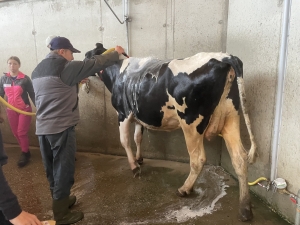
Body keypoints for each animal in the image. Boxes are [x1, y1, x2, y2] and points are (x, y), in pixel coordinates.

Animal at [86, 44, 258, 221]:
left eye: (87, 56)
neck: (118, 73)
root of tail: (225, 57)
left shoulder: (123, 113)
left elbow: (125, 140)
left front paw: (134, 166)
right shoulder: (139, 116)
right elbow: (138, 137)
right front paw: (139, 159)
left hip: (191, 121)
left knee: (198, 158)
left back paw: (184, 189)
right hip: (231, 116)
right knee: (239, 158)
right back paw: (245, 209)